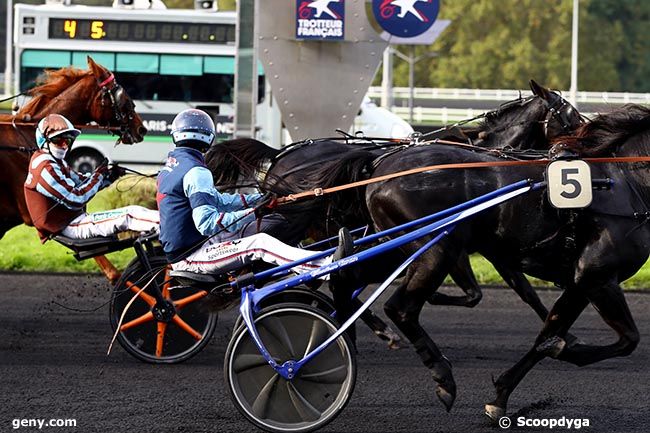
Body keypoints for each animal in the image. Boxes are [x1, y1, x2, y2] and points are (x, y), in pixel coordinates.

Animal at [354, 103, 648, 416]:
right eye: (568, 114)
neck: (625, 184)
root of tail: (380, 166)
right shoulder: (598, 276)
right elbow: (628, 339)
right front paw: (563, 348)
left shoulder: (580, 281)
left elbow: (547, 328)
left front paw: (501, 396)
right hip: (437, 249)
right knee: (400, 308)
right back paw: (442, 377)